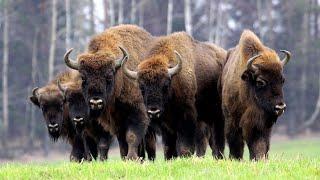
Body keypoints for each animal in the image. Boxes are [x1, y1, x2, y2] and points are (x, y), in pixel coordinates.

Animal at [62, 24, 155, 160]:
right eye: (83, 77)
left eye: (109, 76)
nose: (96, 101)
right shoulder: (117, 123)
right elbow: (123, 143)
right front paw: (126, 158)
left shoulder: (139, 114)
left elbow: (132, 137)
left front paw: (132, 158)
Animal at [221, 29, 292, 160]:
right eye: (260, 82)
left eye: (282, 80)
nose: (280, 107)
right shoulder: (232, 120)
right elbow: (236, 142)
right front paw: (235, 158)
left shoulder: (261, 124)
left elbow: (260, 143)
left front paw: (259, 158)